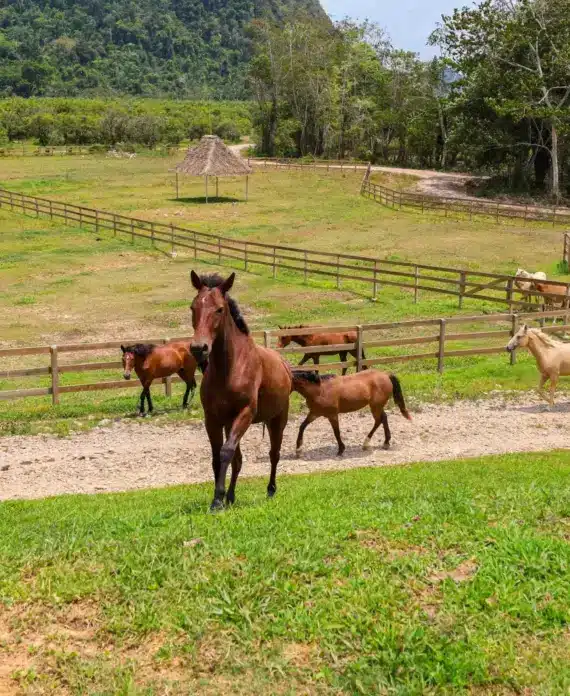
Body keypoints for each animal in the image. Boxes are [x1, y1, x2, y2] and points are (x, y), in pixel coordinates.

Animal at [190, 271, 292, 511]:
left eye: (219, 309)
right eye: (192, 307)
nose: (199, 348)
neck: (230, 368)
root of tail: (284, 365)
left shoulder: (245, 414)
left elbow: (226, 452)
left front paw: (217, 500)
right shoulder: (213, 419)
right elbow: (218, 457)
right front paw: (221, 497)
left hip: (277, 420)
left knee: (274, 454)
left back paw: (270, 490)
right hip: (231, 424)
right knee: (238, 461)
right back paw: (231, 496)